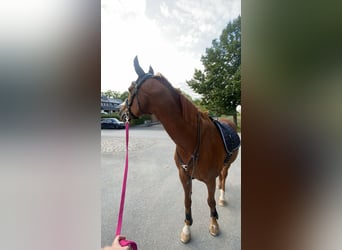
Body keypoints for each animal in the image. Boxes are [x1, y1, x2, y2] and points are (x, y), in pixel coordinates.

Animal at [120, 56, 240, 242]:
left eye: (130, 88)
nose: (120, 110)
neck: (191, 141)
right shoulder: (184, 176)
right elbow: (187, 201)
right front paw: (187, 228)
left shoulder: (210, 179)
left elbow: (210, 201)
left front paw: (214, 224)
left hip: (228, 164)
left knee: (224, 177)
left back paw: (222, 197)